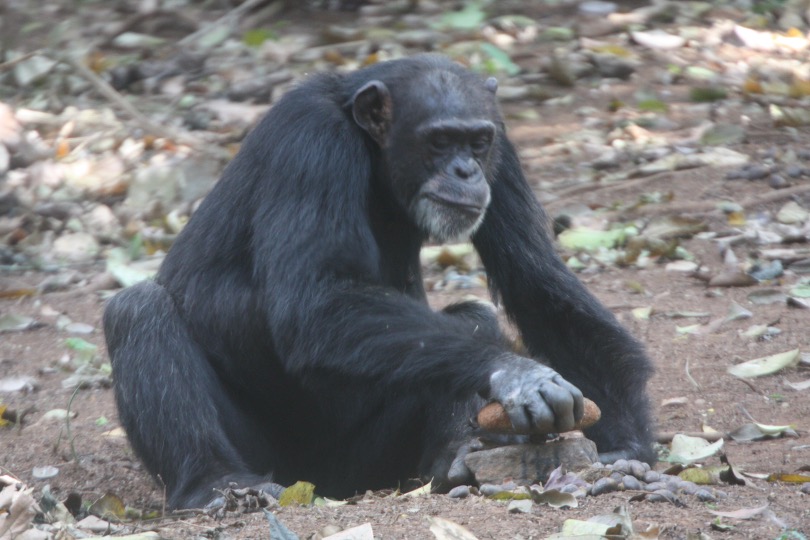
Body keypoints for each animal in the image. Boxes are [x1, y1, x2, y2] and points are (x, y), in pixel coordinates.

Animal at [102, 54, 656, 510]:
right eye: (439, 140)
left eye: (477, 142)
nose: (466, 170)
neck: (371, 149)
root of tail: (317, 483)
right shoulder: (310, 143)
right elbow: (317, 302)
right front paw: (517, 373)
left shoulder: (504, 153)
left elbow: (535, 278)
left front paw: (628, 440)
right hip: (273, 458)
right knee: (138, 309)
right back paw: (217, 484)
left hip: (368, 461)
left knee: (470, 317)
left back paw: (453, 456)